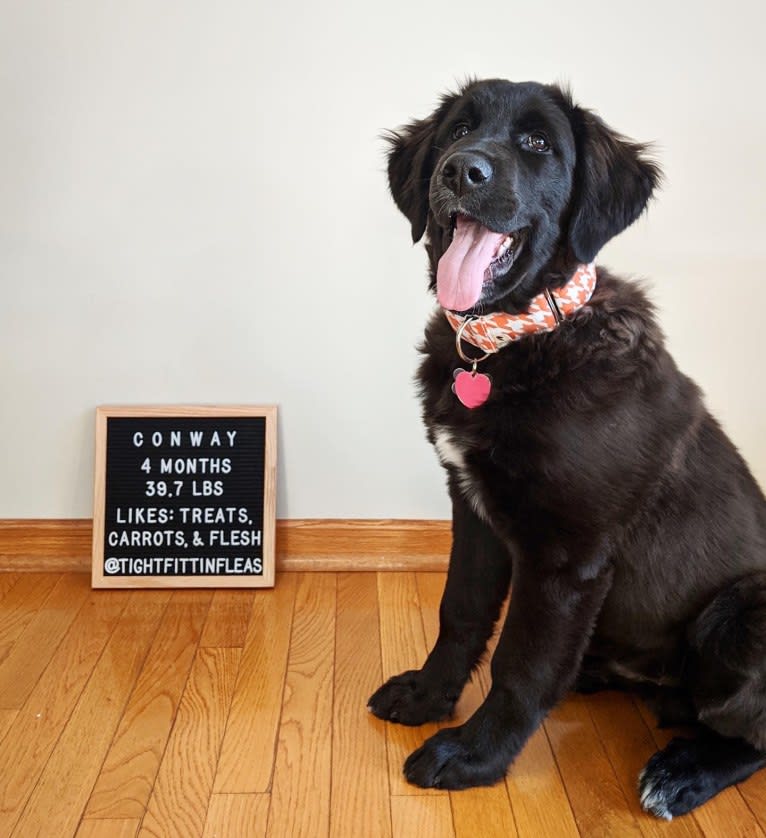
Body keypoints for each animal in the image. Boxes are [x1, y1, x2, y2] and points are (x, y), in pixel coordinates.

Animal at [368, 82, 766, 824]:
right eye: (459, 129)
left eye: (537, 144)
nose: (461, 171)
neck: (516, 340)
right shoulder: (474, 514)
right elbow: (461, 613)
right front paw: (429, 697)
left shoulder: (567, 557)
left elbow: (520, 665)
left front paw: (473, 757)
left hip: (737, 615)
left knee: (750, 733)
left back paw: (682, 773)